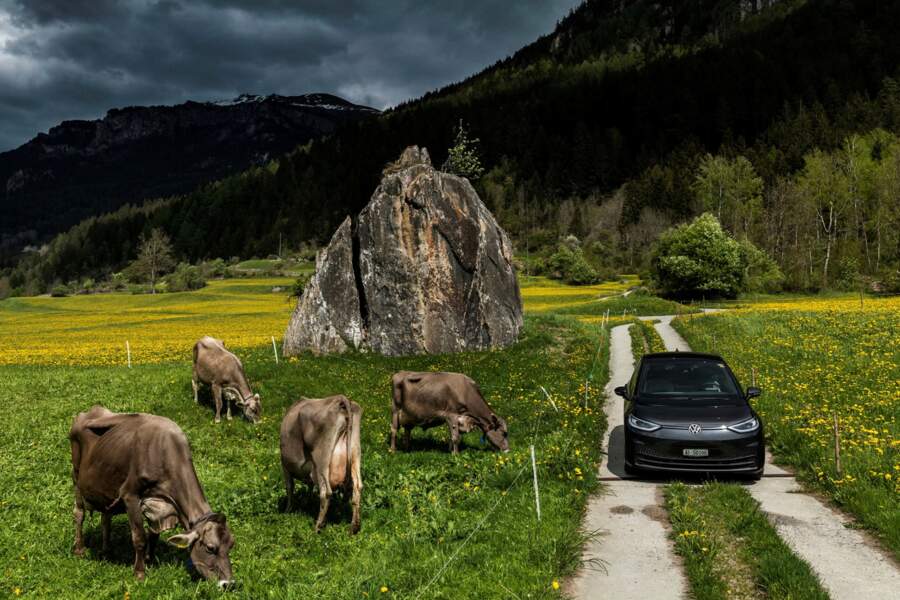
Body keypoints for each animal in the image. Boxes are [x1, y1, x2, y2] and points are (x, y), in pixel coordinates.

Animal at [70, 404, 236, 584]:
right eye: (210, 548)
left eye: (231, 545)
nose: (228, 584)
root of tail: (89, 411)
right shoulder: (130, 495)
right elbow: (139, 537)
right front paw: (139, 572)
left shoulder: (159, 505)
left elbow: (154, 534)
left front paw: (149, 560)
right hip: (76, 475)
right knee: (79, 513)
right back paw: (79, 549)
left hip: (106, 487)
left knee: (105, 516)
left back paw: (107, 551)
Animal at [278, 396, 362, 532]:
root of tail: (340, 398)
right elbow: (309, 487)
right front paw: (308, 502)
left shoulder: (284, 466)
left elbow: (290, 488)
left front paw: (288, 510)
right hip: (355, 453)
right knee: (357, 487)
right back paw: (354, 527)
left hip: (321, 460)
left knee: (326, 492)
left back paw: (318, 526)